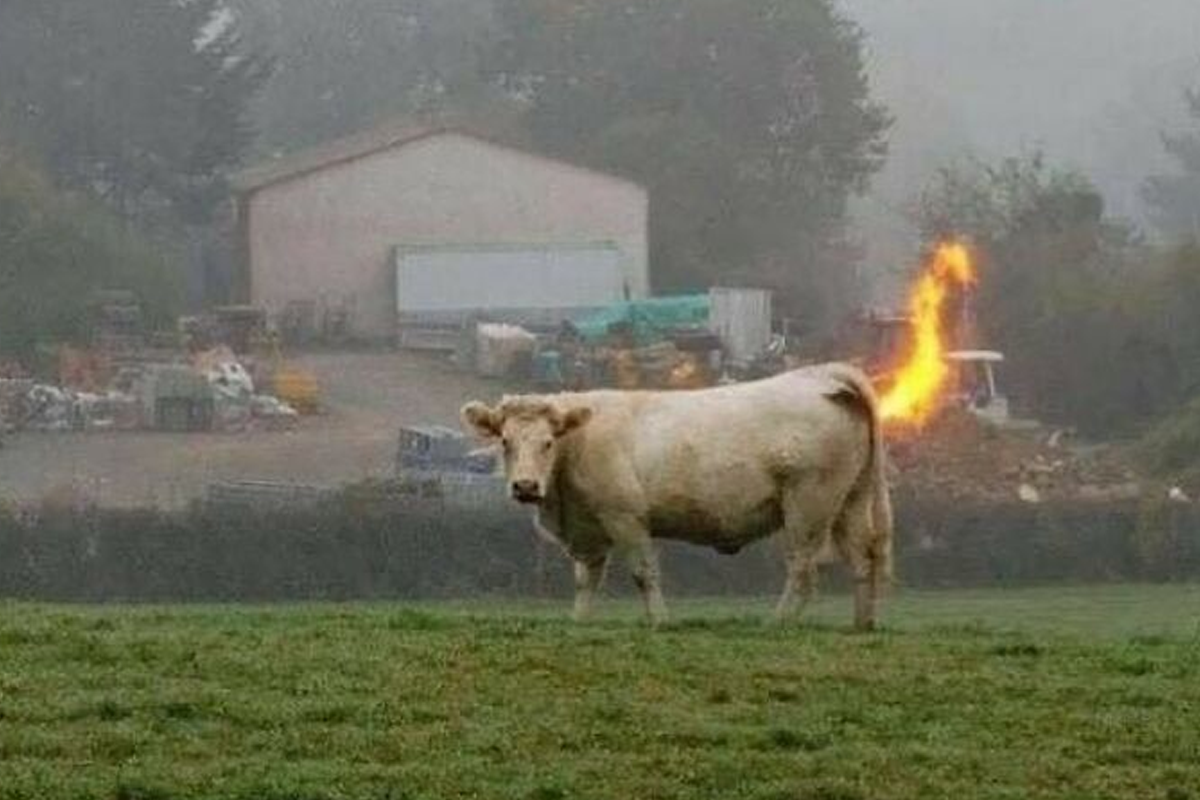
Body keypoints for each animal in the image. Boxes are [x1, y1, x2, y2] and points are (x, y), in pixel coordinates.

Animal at [461, 362, 893, 630]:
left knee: (803, 568)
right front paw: (579, 622)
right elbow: (587, 580)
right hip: (850, 501)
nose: (525, 486)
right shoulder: (589, 529)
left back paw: (777, 622)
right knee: (863, 559)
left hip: (809, 506)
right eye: (505, 441)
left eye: (548, 442)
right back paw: (862, 624)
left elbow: (643, 572)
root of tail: (821, 376)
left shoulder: (625, 518)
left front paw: (660, 622)